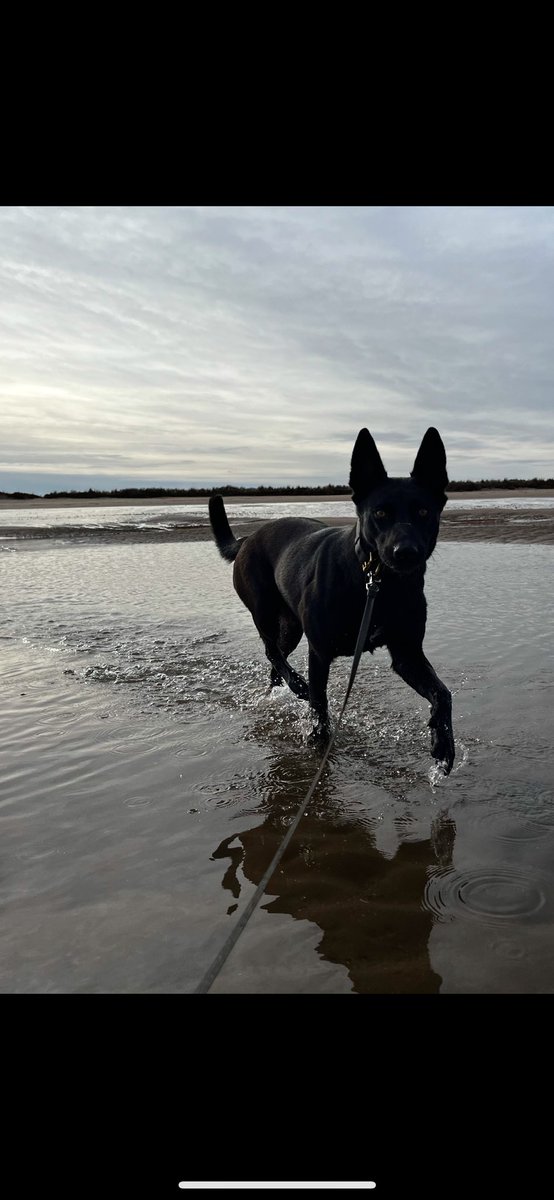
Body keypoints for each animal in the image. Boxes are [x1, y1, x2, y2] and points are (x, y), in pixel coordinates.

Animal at [207, 427, 453, 772]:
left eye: (423, 512)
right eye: (380, 513)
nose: (405, 553)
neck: (377, 584)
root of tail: (247, 538)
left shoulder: (407, 654)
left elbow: (443, 694)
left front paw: (443, 743)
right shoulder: (320, 652)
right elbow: (319, 707)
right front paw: (317, 748)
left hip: (291, 627)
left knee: (275, 661)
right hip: (263, 610)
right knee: (272, 652)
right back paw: (297, 686)